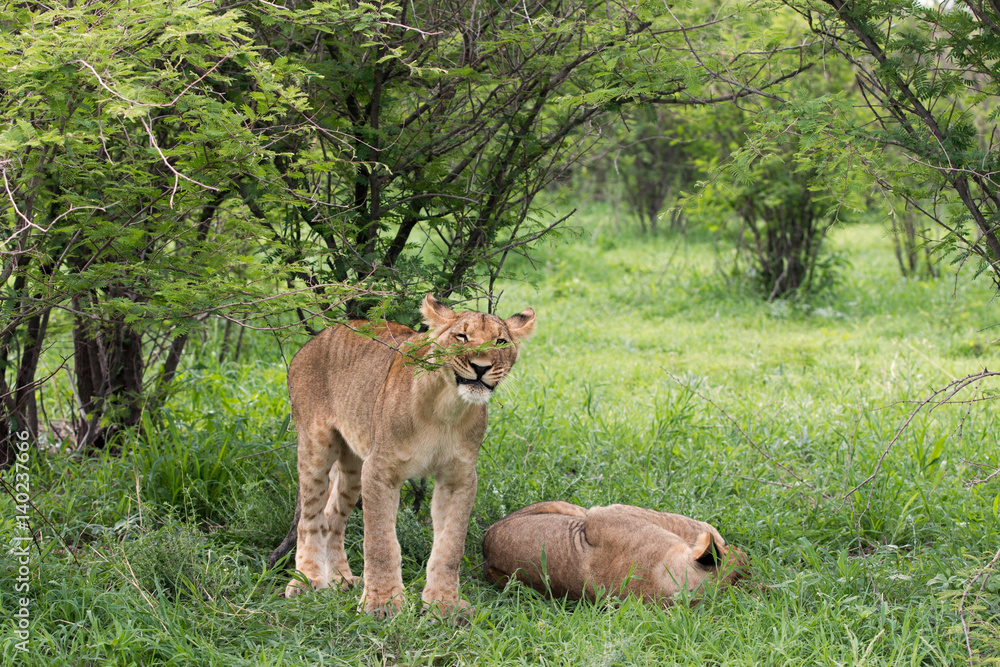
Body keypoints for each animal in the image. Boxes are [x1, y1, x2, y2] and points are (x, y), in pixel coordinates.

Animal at [273, 294, 535, 619]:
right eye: (461, 336)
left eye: (500, 342)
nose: (481, 367)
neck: (447, 409)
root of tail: (317, 337)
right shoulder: (379, 470)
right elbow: (381, 543)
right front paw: (382, 604)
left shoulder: (458, 478)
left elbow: (450, 546)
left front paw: (444, 605)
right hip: (316, 446)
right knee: (310, 518)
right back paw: (307, 581)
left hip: (353, 463)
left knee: (333, 516)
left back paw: (341, 578)